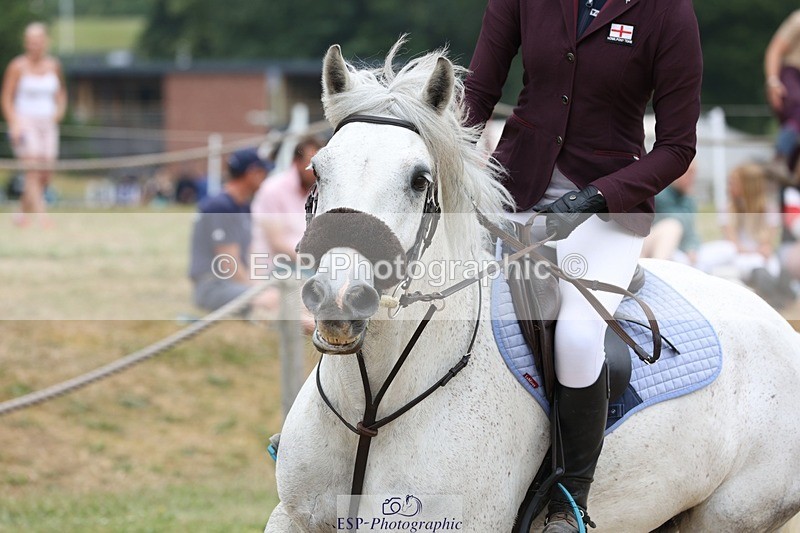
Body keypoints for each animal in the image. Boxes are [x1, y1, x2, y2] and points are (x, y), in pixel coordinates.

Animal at [265, 40, 800, 532]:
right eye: (317, 170)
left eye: (419, 180)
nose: (338, 298)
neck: (372, 404)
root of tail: (778, 324)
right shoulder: (292, 517)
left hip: (730, 515)